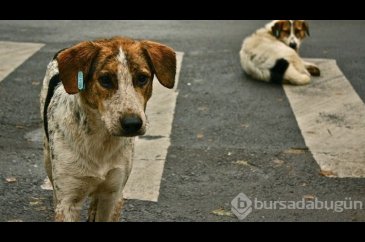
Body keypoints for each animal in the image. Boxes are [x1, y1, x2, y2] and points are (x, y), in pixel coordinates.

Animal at [39, 36, 176, 221]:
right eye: (105, 80)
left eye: (142, 78)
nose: (132, 124)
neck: (101, 139)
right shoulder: (68, 201)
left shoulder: (113, 195)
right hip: (48, 158)